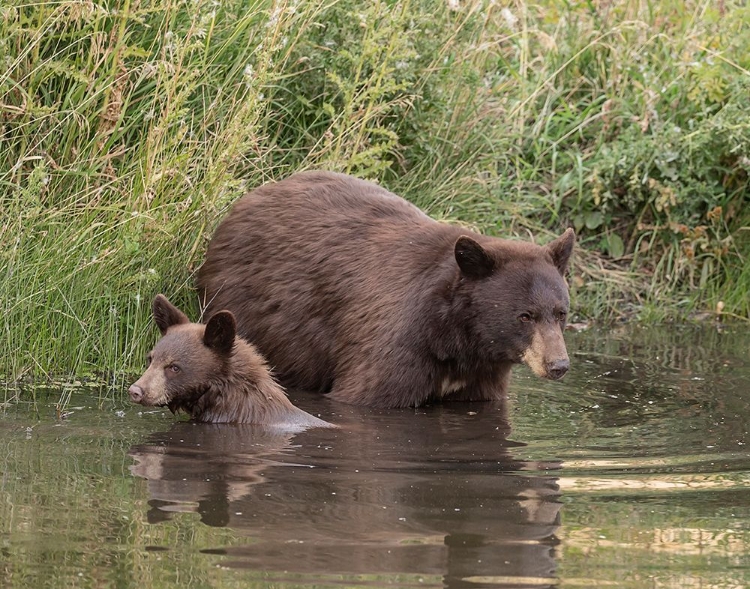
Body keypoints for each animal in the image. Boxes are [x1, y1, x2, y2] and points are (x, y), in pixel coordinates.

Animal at [198, 171, 576, 408]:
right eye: (525, 315)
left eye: (561, 313)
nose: (558, 365)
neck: (456, 336)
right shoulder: (395, 347)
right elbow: (367, 393)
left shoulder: (481, 377)